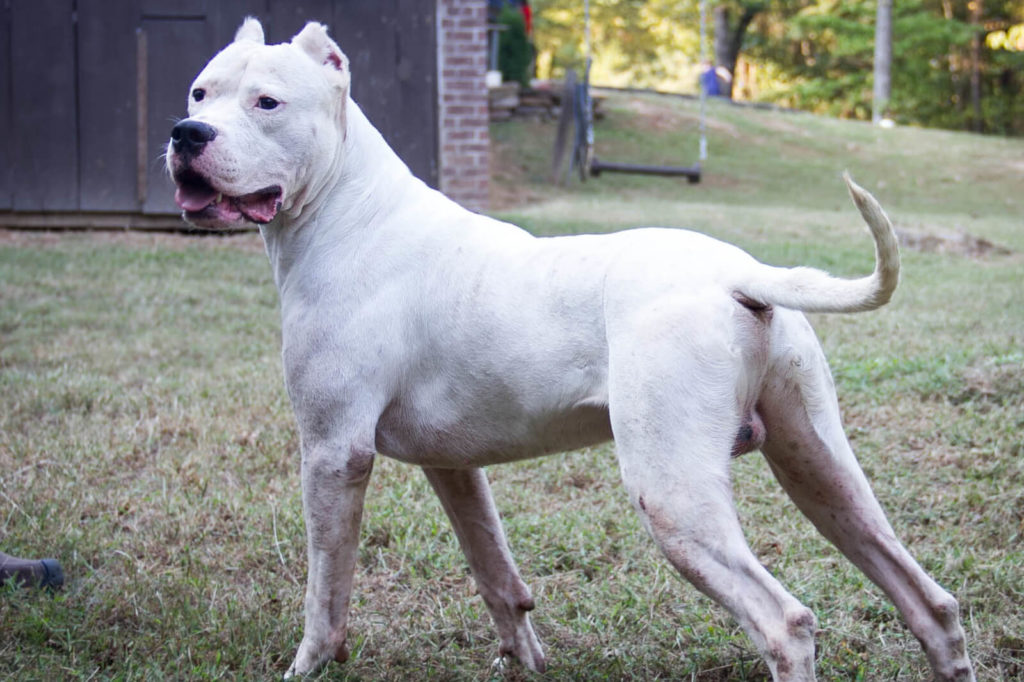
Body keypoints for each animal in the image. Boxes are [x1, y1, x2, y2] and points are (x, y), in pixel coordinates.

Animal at [165, 17, 974, 679]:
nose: (185, 133)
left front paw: (308, 665)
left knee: (786, 623)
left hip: (674, 495)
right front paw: (523, 658)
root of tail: (738, 272)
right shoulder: (452, 466)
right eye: (201, 91)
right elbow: (494, 570)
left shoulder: (334, 454)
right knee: (929, 602)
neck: (346, 207)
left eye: (267, 103)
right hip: (821, 471)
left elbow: (325, 592)